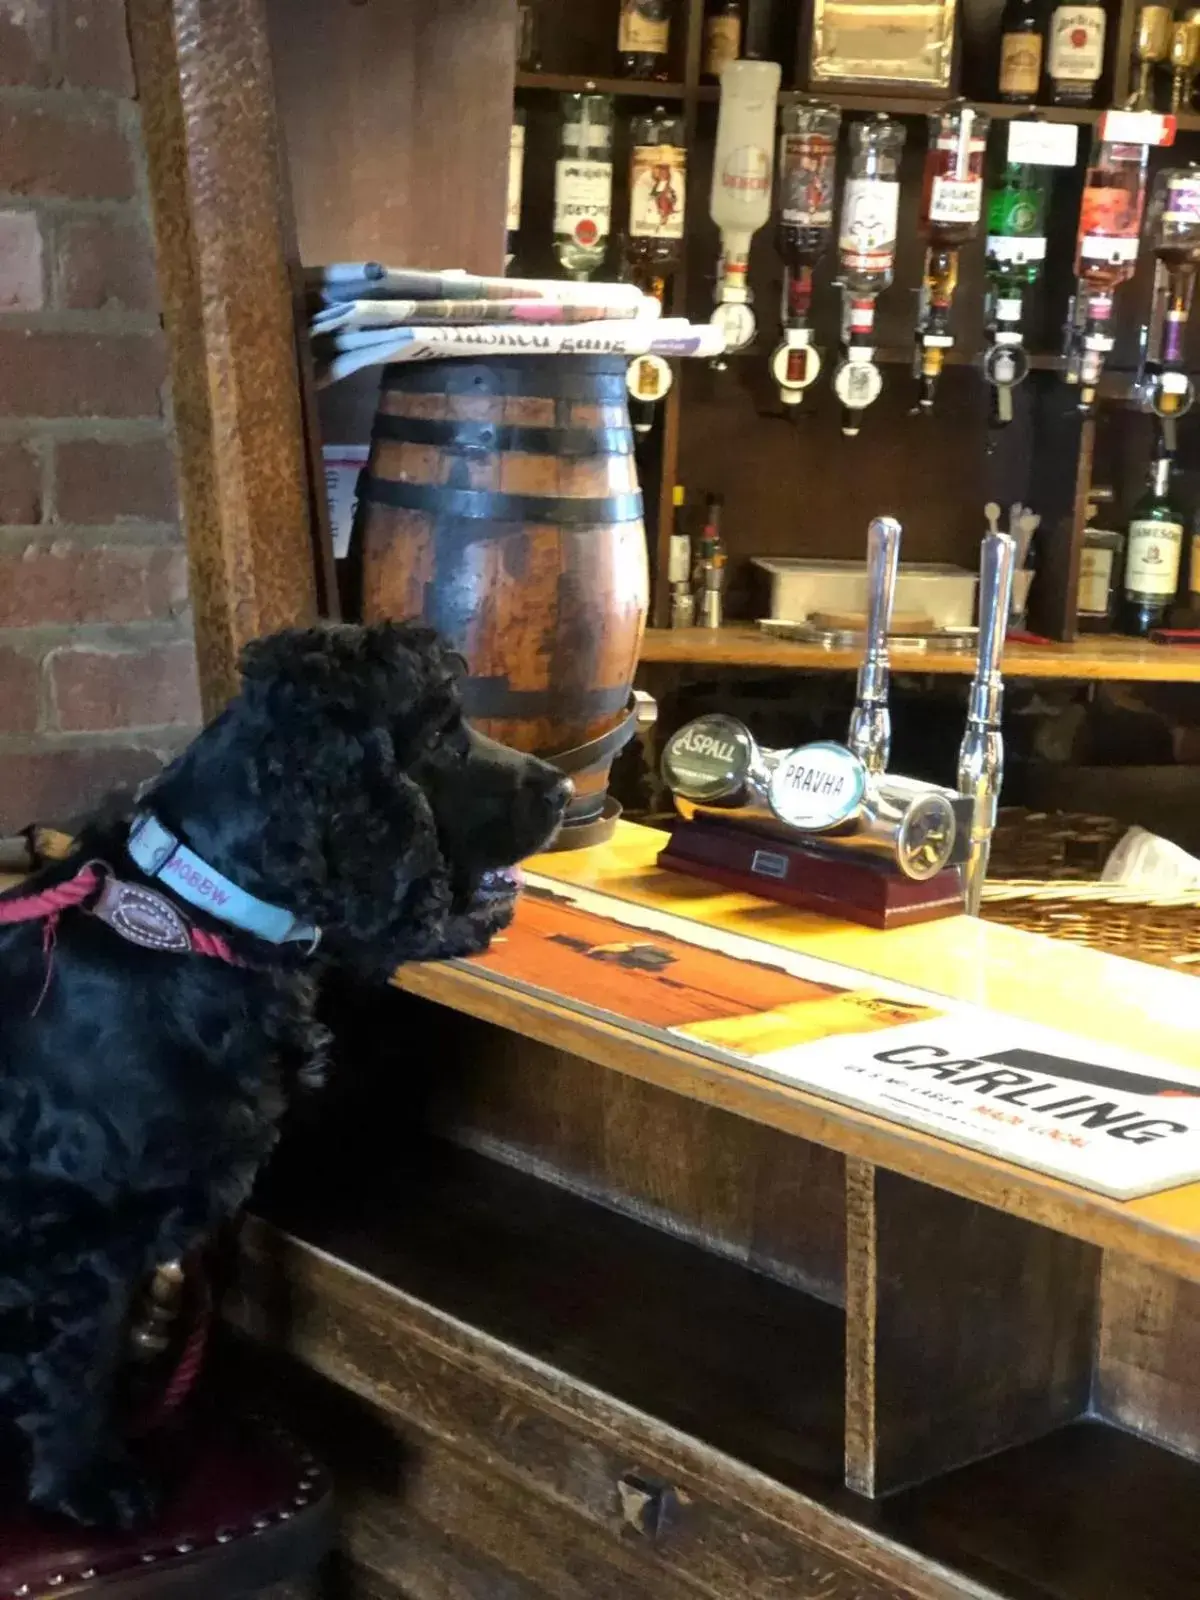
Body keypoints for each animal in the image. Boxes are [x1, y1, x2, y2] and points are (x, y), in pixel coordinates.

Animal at [0, 620, 569, 1523]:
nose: (569, 790)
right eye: (443, 734)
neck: (198, 913)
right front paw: (86, 1479)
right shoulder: (78, 1231)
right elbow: (75, 1368)